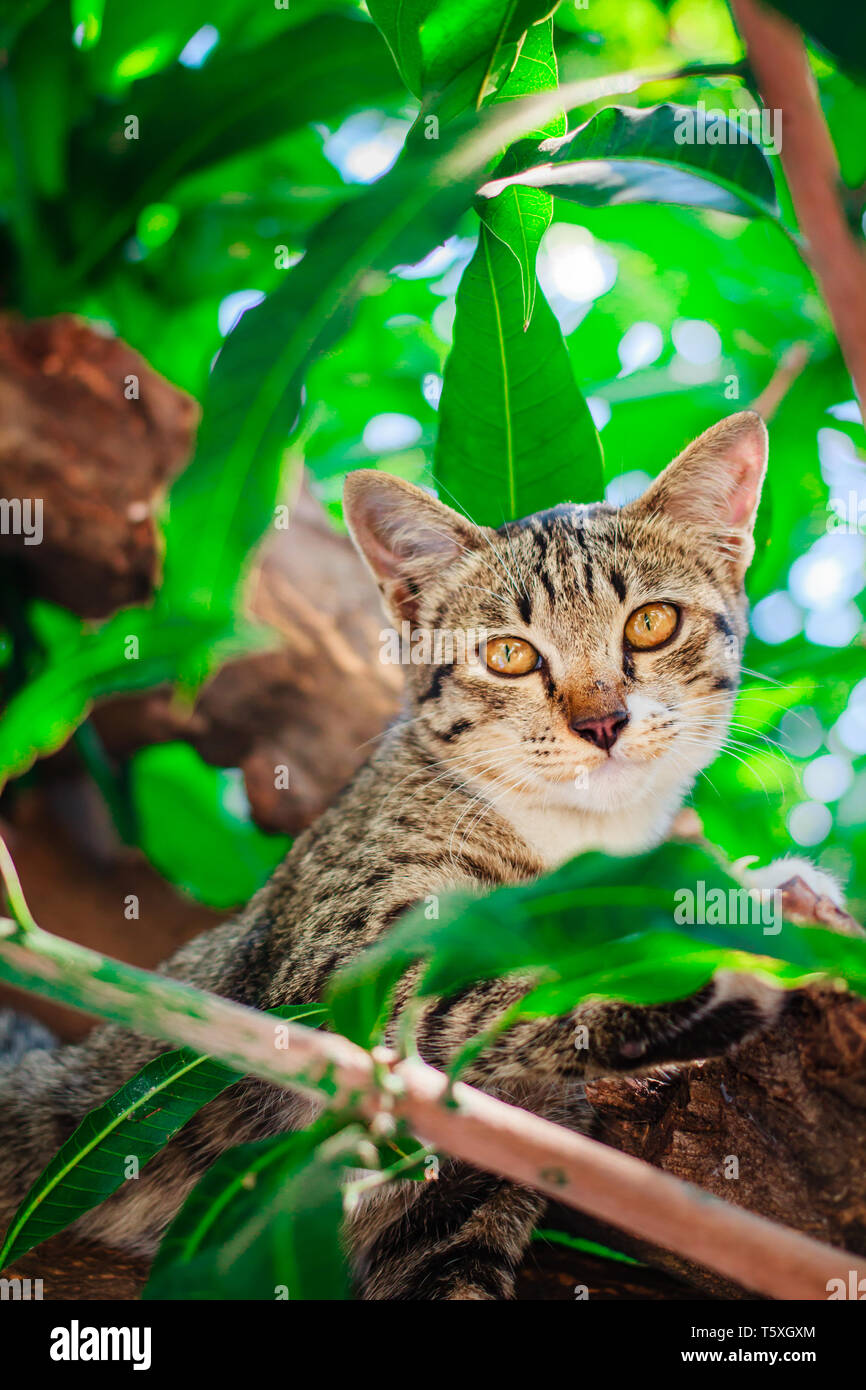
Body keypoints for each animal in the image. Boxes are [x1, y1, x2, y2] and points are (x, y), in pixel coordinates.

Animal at [0, 408, 800, 1289]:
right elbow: (499, 990)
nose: (602, 722)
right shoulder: (337, 983)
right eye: (509, 654)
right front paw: (701, 951)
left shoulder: (457, 1200)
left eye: (651, 624)